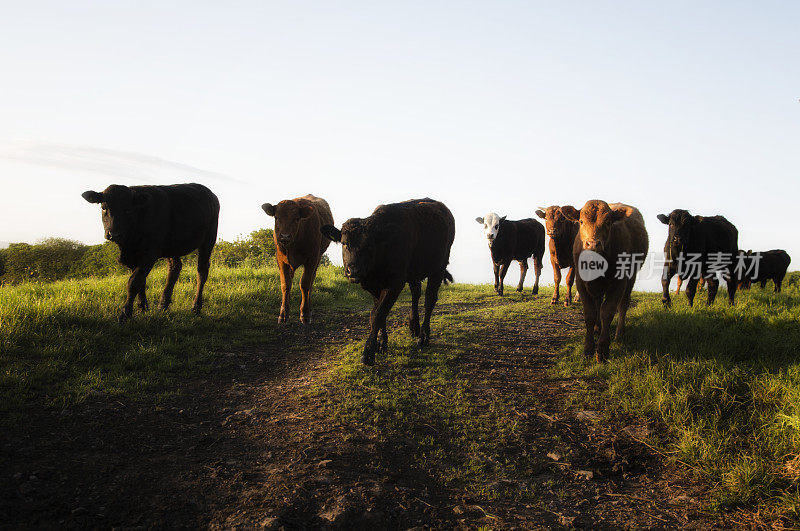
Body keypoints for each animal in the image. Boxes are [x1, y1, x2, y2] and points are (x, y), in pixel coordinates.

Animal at [82, 183, 219, 324]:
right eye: (104, 208)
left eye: (128, 210)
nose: (114, 234)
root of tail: (210, 193)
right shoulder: (134, 257)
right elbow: (141, 282)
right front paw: (143, 307)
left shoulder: (149, 255)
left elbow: (134, 282)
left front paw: (125, 314)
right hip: (172, 246)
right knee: (175, 268)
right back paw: (163, 306)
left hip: (209, 239)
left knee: (202, 271)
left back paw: (196, 307)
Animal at [260, 194, 332, 324]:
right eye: (276, 217)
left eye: (297, 219)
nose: (285, 236)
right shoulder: (280, 260)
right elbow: (285, 284)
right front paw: (283, 313)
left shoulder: (312, 258)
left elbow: (305, 284)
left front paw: (305, 314)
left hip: (318, 258)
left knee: (311, 281)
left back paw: (309, 309)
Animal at [320, 197, 456, 368]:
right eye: (345, 243)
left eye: (369, 245)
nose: (353, 271)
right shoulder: (373, 286)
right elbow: (377, 312)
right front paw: (381, 344)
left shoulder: (395, 283)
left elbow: (378, 313)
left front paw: (368, 353)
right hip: (414, 272)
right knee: (416, 293)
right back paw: (414, 326)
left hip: (438, 267)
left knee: (429, 300)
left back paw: (424, 336)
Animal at [560, 202, 648, 364]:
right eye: (581, 221)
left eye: (608, 222)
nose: (593, 244)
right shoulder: (581, 282)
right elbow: (590, 313)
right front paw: (588, 349)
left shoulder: (619, 283)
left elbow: (607, 312)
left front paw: (602, 351)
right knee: (598, 302)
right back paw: (597, 328)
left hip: (630, 278)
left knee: (623, 304)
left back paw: (619, 333)